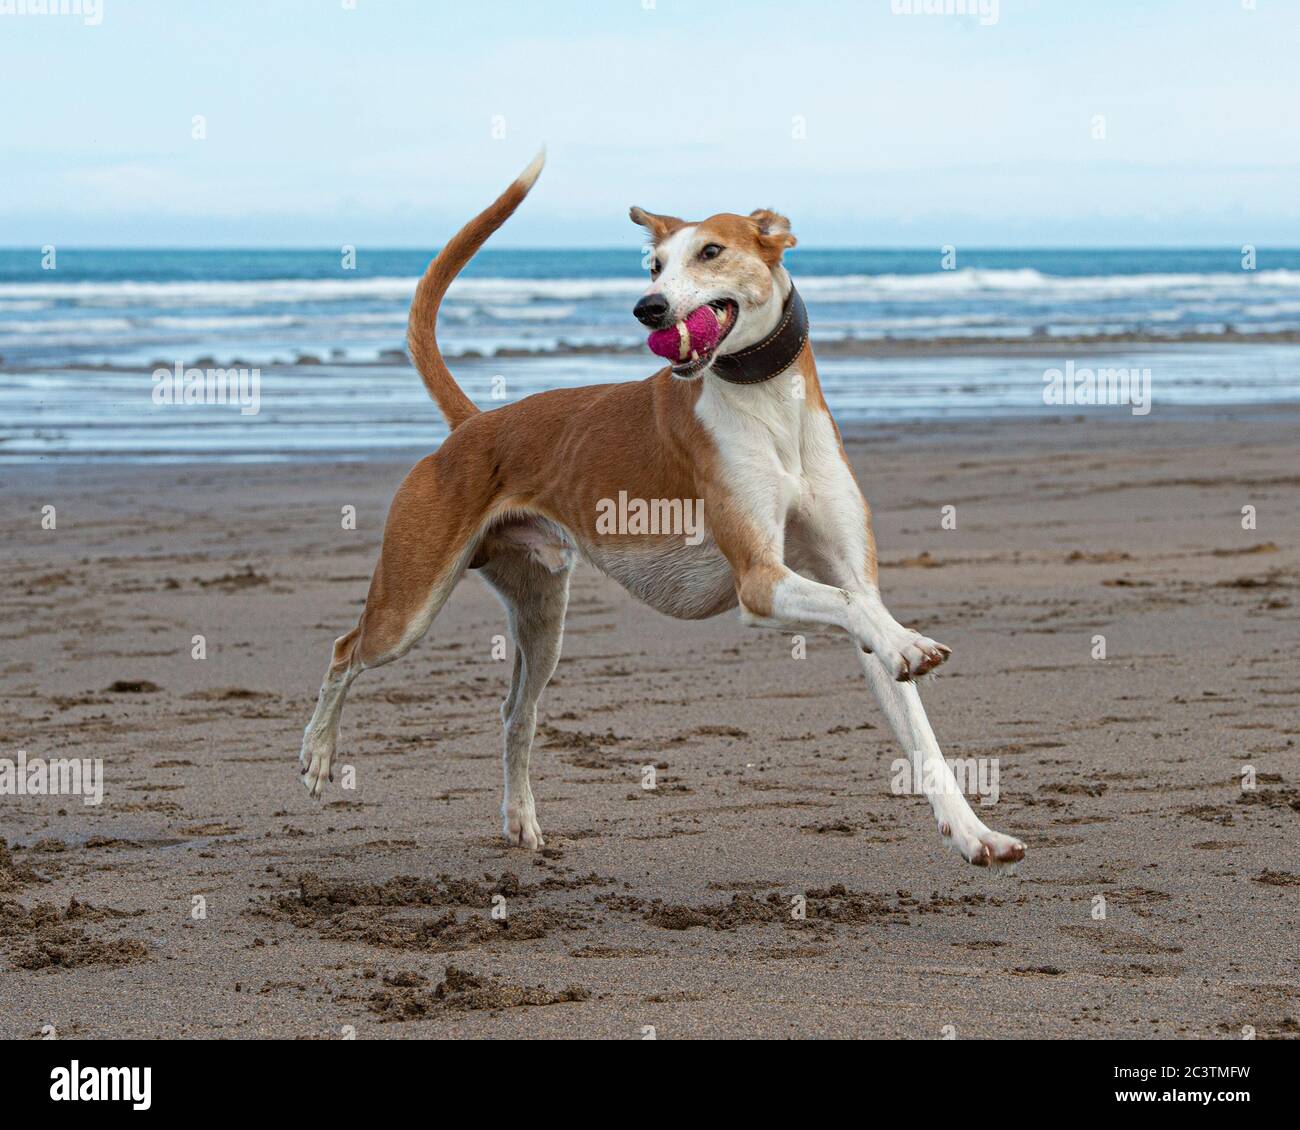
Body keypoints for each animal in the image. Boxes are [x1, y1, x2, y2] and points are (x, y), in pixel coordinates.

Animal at [297, 152, 1024, 873]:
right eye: (653, 266)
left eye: (711, 251)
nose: (647, 308)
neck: (769, 405)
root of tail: (474, 427)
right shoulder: (761, 582)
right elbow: (859, 613)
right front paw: (911, 642)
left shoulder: (847, 578)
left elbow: (913, 716)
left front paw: (974, 833)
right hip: (411, 604)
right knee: (344, 650)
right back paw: (317, 754)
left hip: (541, 617)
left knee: (513, 714)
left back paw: (521, 823)